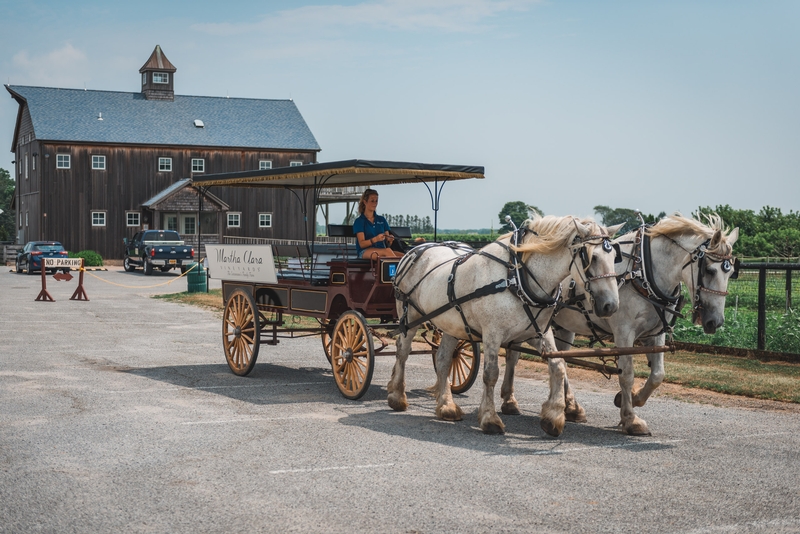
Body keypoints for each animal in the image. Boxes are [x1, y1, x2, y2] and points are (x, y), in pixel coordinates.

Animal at [390, 216, 624, 438]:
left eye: (615, 257)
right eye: (592, 257)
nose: (611, 305)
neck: (516, 277)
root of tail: (414, 251)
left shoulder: (539, 331)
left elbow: (558, 366)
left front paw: (554, 417)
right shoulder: (492, 333)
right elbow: (491, 373)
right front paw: (489, 419)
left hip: (451, 324)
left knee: (443, 359)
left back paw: (446, 406)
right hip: (409, 316)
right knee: (403, 351)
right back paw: (397, 396)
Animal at [520, 214, 740, 436]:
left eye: (731, 273)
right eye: (710, 270)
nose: (715, 322)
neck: (642, 273)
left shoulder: (655, 333)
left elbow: (658, 374)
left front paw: (633, 398)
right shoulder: (623, 333)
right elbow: (626, 374)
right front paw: (630, 419)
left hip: (564, 328)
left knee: (561, 359)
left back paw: (572, 407)